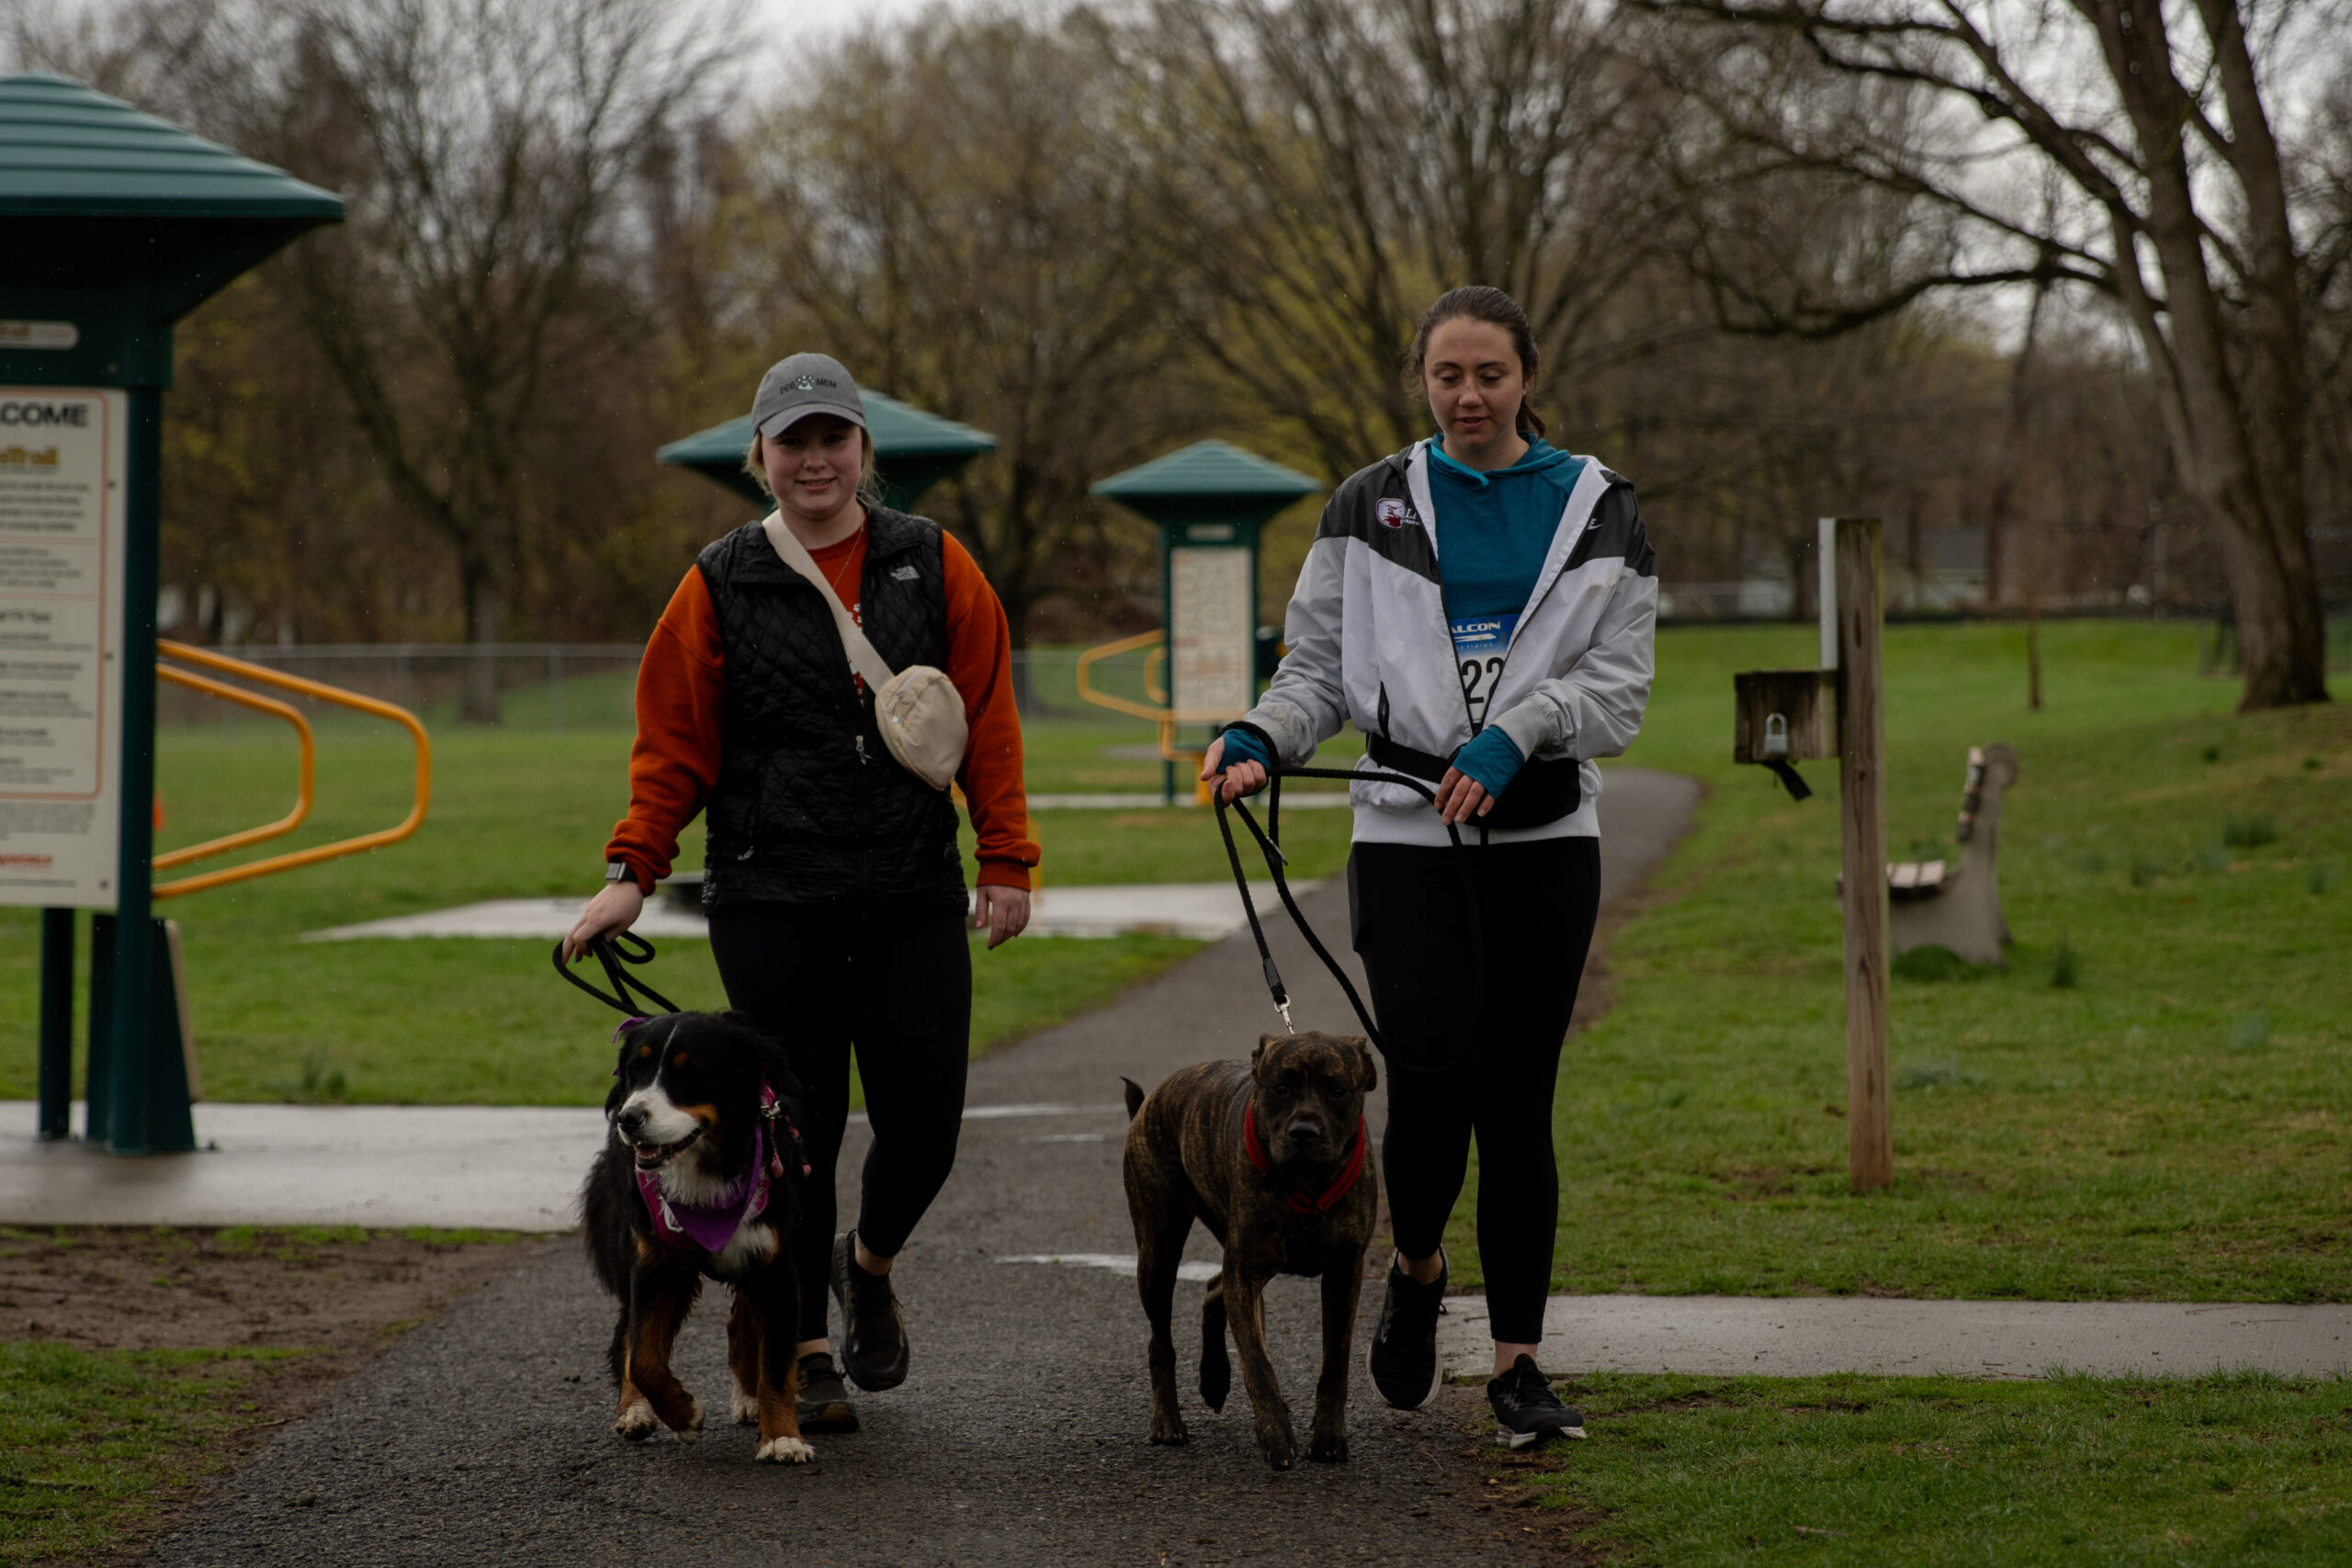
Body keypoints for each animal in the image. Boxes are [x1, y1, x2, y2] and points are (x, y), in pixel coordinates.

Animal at [580, 1010, 814, 1464]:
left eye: (687, 1073)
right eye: (636, 1069)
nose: (629, 1119)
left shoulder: (775, 1265)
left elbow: (776, 1362)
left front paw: (781, 1436)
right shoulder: (655, 1264)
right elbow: (645, 1357)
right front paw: (683, 1414)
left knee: (741, 1323)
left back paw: (750, 1398)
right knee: (626, 1336)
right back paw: (634, 1411)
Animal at [1121, 1031, 1379, 1469]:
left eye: (1338, 1091)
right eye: (1280, 1088)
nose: (1303, 1132)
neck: (1306, 1182)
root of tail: (1149, 1101)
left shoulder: (1345, 1272)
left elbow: (1335, 1363)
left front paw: (1329, 1437)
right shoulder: (1246, 1273)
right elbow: (1258, 1365)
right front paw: (1275, 1434)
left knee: (1213, 1288)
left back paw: (1214, 1379)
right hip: (1158, 1251)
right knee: (1161, 1343)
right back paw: (1169, 1421)